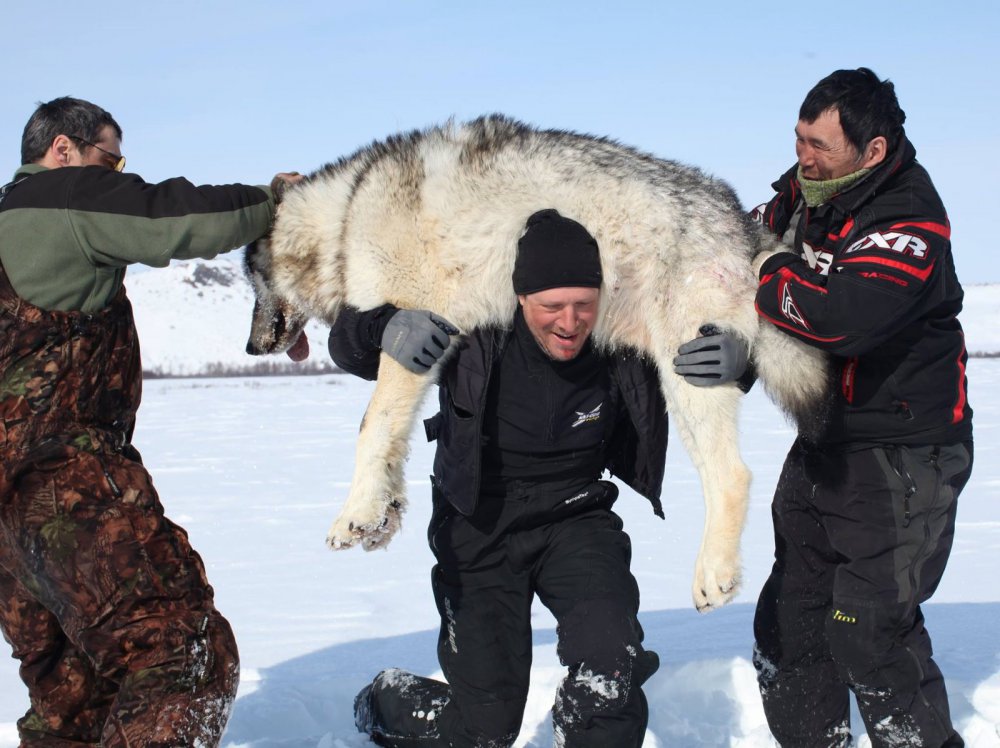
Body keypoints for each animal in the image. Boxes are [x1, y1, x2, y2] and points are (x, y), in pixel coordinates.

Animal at [244, 114, 828, 612]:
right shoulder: (423, 344)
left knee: (734, 476)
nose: (250, 348)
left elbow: (371, 427)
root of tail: (739, 218)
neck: (347, 214)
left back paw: (713, 577)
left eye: (252, 280)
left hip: (688, 373)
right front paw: (382, 519)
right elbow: (392, 441)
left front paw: (354, 517)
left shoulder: (414, 332)